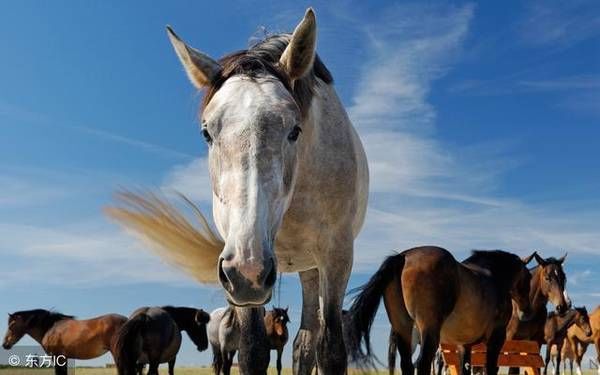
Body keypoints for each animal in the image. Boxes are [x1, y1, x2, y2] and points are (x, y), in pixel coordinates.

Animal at [108, 7, 370, 374]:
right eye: (206, 132)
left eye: (295, 129)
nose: (248, 270)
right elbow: (252, 352)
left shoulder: (336, 257)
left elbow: (331, 351)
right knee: (303, 342)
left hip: (311, 267)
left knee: (308, 341)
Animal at [346, 247, 536, 375]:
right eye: (528, 278)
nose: (526, 312)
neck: (494, 278)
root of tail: (404, 256)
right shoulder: (496, 338)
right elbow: (490, 368)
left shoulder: (463, 345)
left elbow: (465, 369)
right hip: (429, 330)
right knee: (422, 364)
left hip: (402, 328)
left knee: (407, 364)